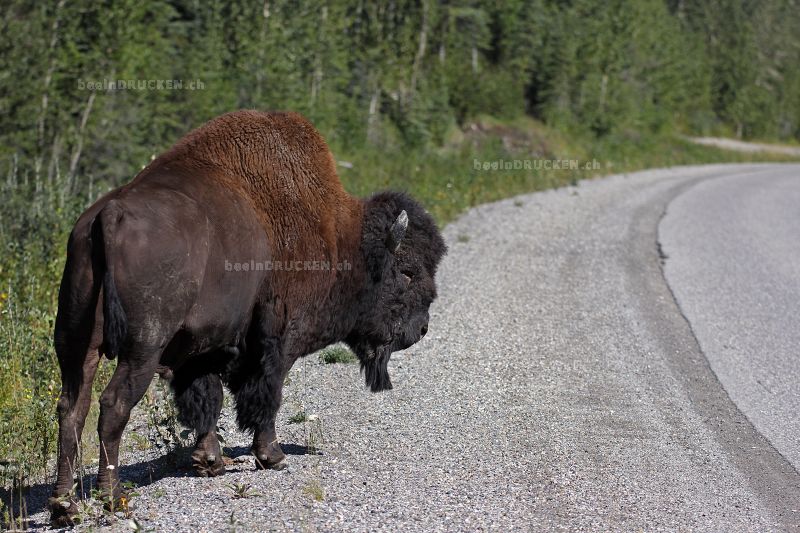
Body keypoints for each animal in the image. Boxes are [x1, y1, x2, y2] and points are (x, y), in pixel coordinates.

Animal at [50, 110, 446, 524]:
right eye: (407, 271)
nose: (420, 328)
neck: (340, 239)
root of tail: (110, 214)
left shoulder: (201, 348)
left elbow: (205, 400)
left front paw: (210, 461)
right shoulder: (278, 341)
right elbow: (265, 395)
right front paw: (272, 456)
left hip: (75, 344)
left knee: (71, 408)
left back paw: (64, 506)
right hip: (142, 348)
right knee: (113, 405)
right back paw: (112, 498)